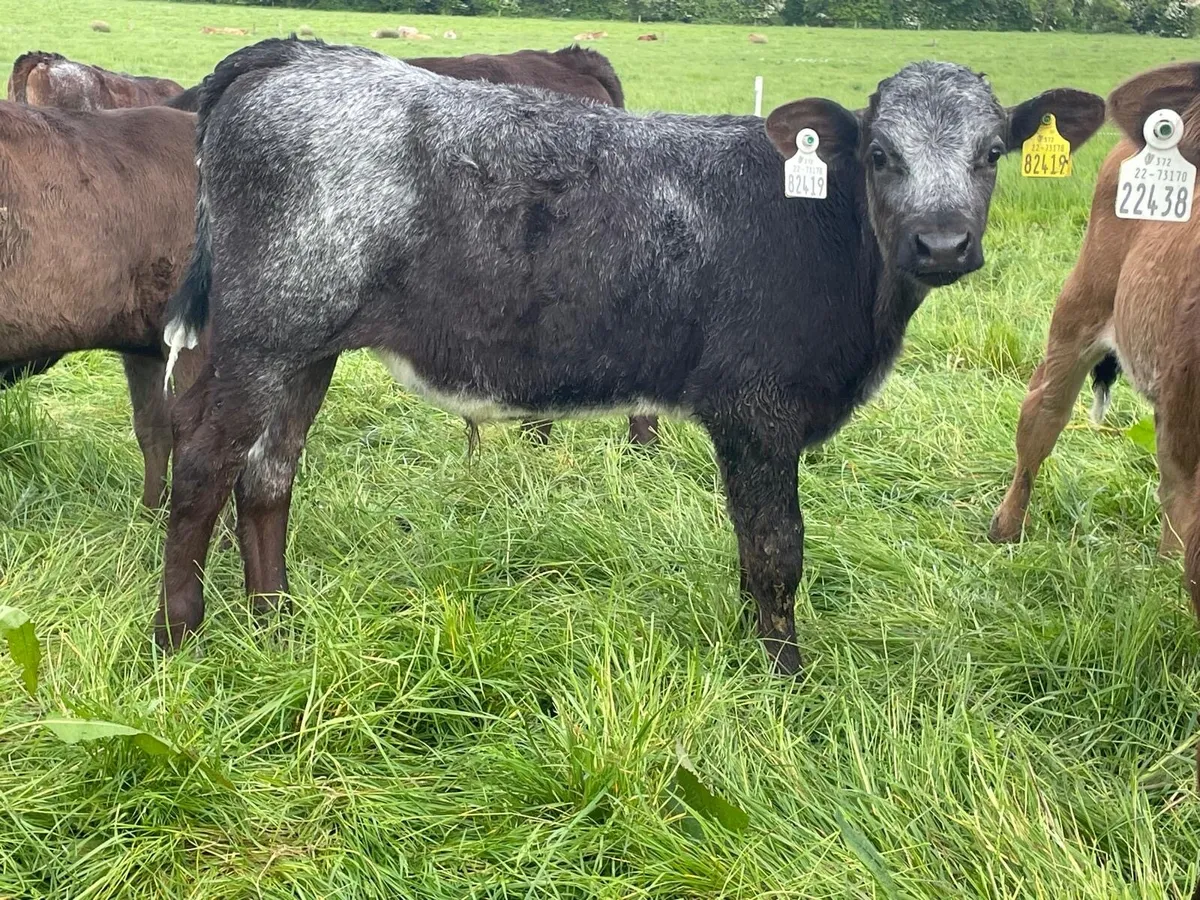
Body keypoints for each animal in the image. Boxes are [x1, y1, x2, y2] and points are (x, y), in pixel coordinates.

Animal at [155, 37, 1103, 673]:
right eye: (880, 153)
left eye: (992, 153)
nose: (942, 244)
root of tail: (302, 53)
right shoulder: (757, 409)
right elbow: (777, 548)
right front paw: (785, 676)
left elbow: (754, 550)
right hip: (262, 334)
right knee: (201, 470)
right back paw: (178, 640)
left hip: (307, 345)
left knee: (267, 477)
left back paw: (277, 627)